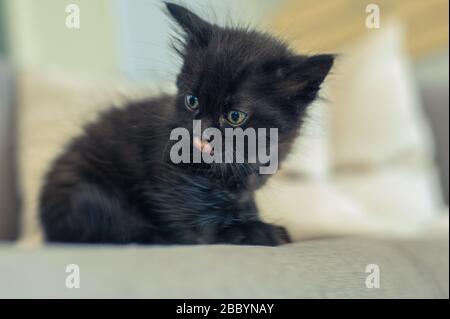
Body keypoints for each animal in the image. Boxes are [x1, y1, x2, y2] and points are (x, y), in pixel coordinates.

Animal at [39, 2, 334, 246]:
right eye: (192, 101)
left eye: (234, 117)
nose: (200, 134)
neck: (226, 175)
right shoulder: (178, 198)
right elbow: (206, 228)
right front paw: (259, 231)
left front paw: (253, 219)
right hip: (87, 196)